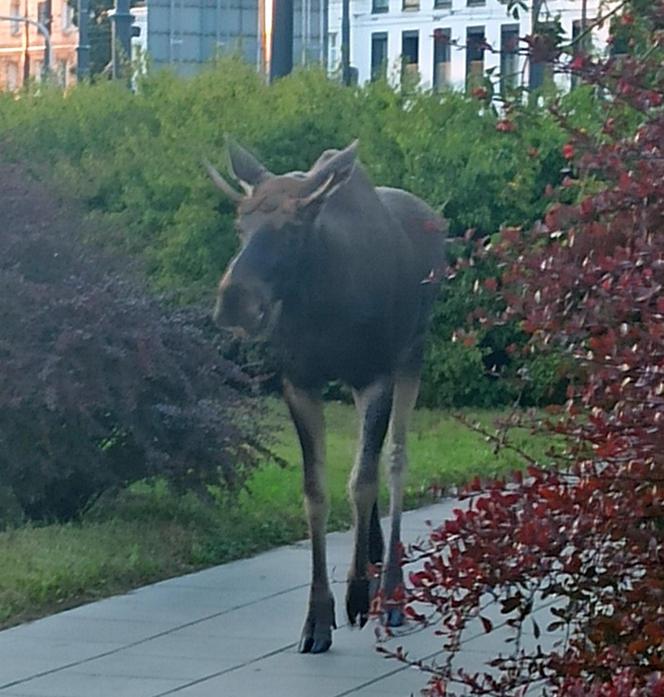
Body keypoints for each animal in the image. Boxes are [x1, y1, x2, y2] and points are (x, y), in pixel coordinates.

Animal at [206, 140, 446, 652]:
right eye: (240, 224)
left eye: (293, 227)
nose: (233, 300)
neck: (323, 308)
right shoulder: (299, 382)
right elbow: (316, 489)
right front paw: (318, 615)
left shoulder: (377, 375)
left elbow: (362, 481)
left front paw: (357, 592)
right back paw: (374, 567)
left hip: (412, 353)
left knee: (395, 460)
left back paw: (389, 590)